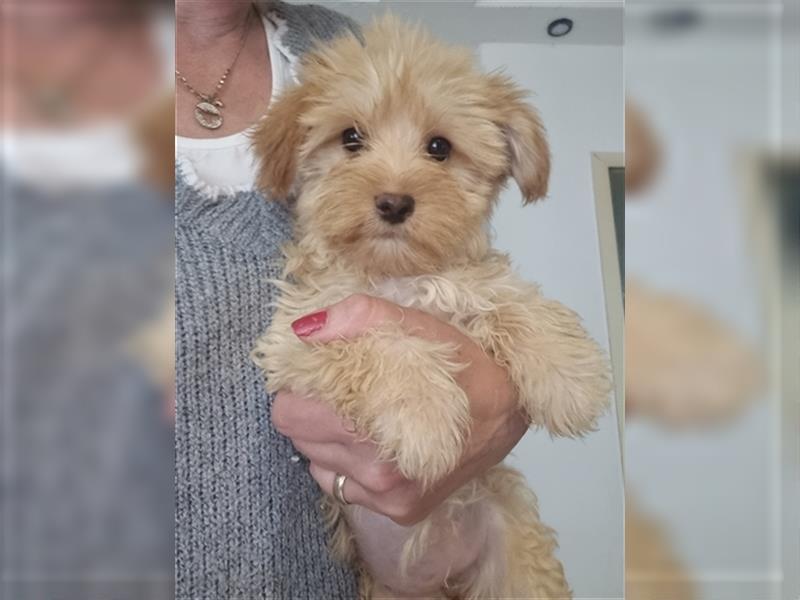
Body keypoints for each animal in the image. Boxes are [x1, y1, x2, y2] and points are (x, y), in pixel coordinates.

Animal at [253, 17, 608, 600]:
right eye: (351, 138)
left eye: (439, 147)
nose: (394, 202)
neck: (400, 277)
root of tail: (436, 579)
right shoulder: (295, 340)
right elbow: (378, 342)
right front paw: (425, 416)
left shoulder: (466, 288)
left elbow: (511, 299)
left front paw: (569, 377)